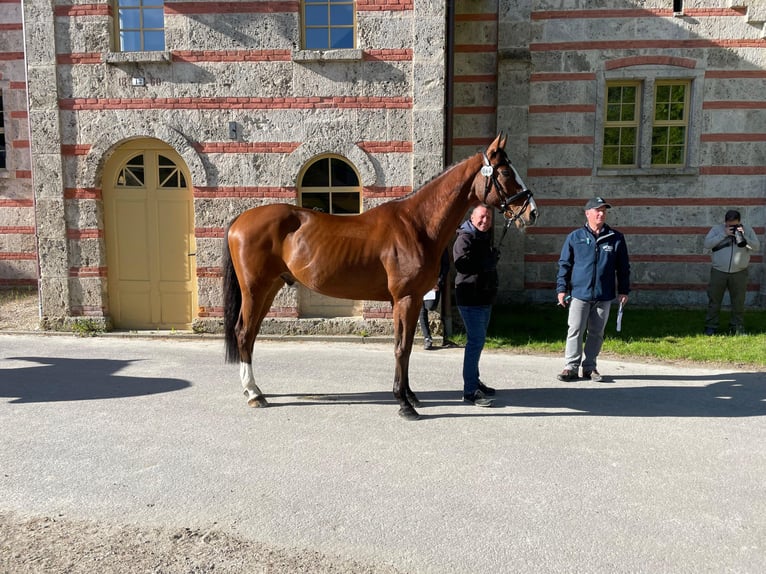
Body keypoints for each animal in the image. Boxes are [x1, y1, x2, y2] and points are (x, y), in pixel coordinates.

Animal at [222, 134, 538, 420]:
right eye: (506, 172)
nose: (532, 213)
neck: (416, 225)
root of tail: (240, 220)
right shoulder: (406, 299)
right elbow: (401, 348)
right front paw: (404, 404)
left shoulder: (407, 301)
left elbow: (406, 346)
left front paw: (410, 395)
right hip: (255, 289)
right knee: (244, 332)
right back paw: (254, 393)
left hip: (270, 288)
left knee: (250, 334)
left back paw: (255, 389)